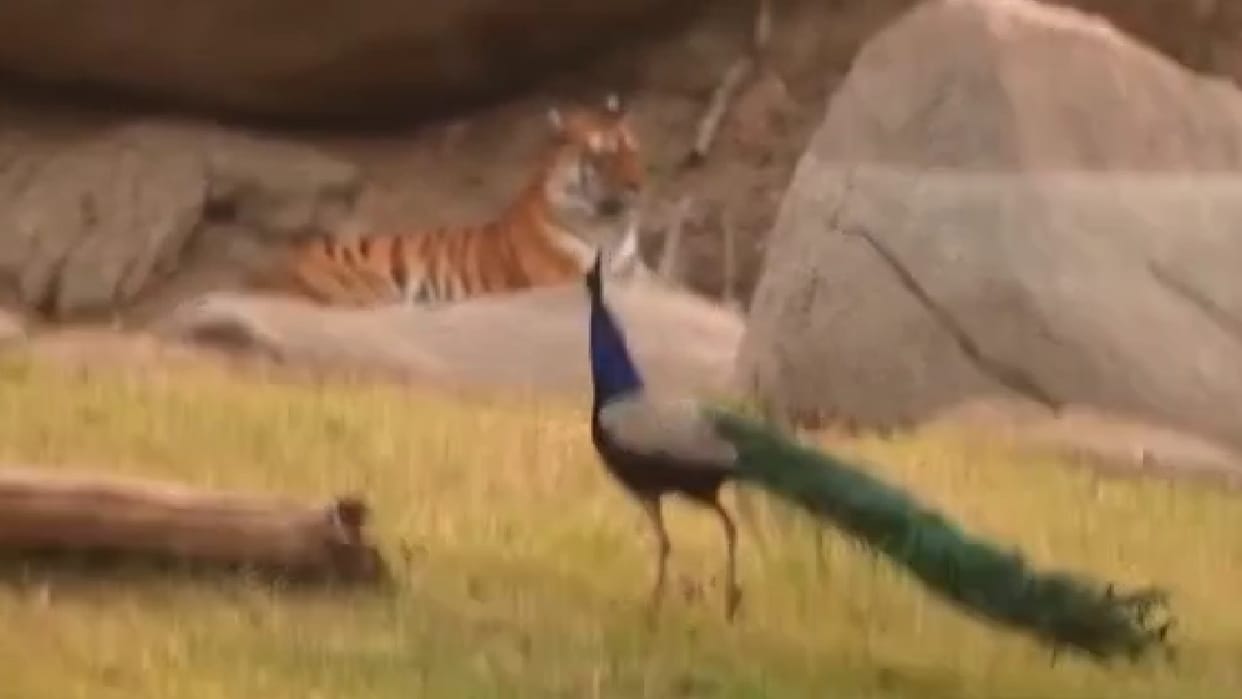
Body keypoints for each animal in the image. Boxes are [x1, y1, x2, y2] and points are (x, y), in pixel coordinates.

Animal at [247, 94, 645, 308]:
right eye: (603, 155)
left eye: (633, 149)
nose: (638, 186)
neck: (607, 228)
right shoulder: (564, 279)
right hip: (370, 287)